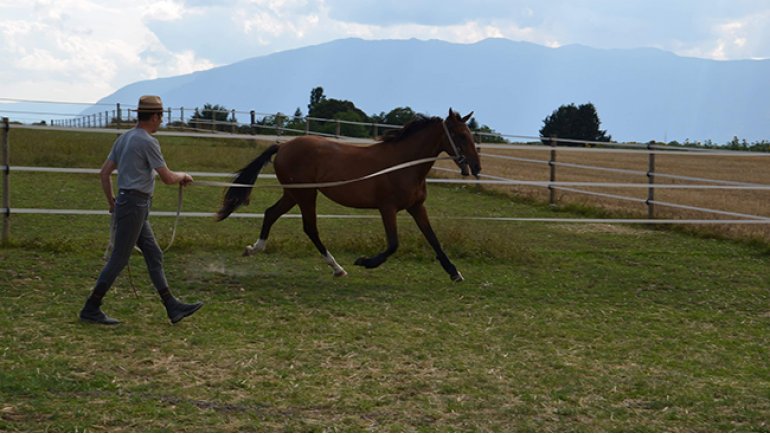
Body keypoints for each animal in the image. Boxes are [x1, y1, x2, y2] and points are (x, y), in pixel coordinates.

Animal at [216, 109, 481, 281]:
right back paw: (337, 267)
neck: (403, 165)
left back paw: (253, 249)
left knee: (271, 213)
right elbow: (393, 244)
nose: (476, 167)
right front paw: (365, 262)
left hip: (293, 194)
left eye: (470, 134)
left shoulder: (417, 207)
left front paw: (454, 272)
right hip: (305, 195)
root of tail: (283, 145)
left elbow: (433, 239)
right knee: (310, 228)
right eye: (460, 135)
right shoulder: (387, 208)